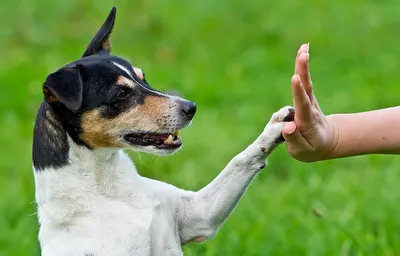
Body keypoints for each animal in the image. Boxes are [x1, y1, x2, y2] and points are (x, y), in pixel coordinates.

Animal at [32, 7, 296, 255]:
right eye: (121, 93)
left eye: (143, 77)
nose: (191, 107)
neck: (108, 189)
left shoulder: (199, 214)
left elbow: (240, 160)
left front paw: (275, 128)